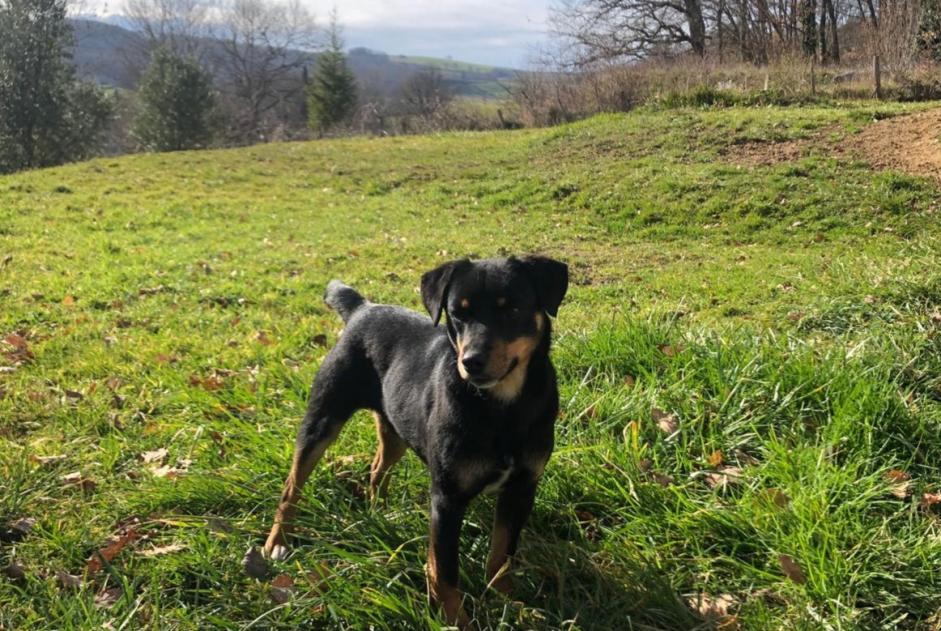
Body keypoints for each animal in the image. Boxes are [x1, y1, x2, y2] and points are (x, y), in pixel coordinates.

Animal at [262, 256, 564, 628]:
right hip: (322, 418)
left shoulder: (521, 488)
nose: (472, 361)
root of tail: (363, 309)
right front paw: (453, 619)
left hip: (396, 429)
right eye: (457, 313)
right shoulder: (447, 499)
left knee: (377, 469)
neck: (502, 405)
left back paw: (379, 513)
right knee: (292, 486)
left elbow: (502, 554)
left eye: (512, 308)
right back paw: (277, 542)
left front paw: (509, 602)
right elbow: (444, 569)